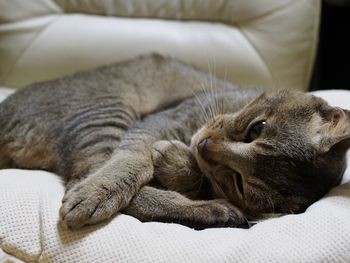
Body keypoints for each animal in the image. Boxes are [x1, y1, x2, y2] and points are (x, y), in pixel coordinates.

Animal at [0, 54, 348, 230]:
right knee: (84, 181)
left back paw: (216, 209)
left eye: (240, 182)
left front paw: (179, 162)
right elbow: (134, 158)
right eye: (256, 129)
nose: (206, 145)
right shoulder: (160, 121)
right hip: (109, 110)